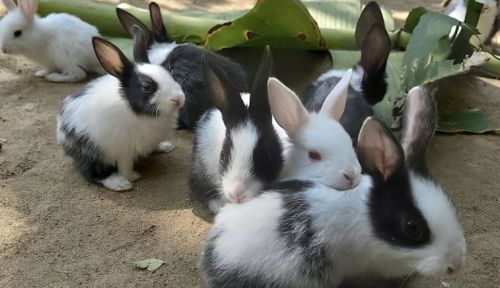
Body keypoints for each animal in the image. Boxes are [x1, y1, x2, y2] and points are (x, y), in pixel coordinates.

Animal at [56, 27, 185, 192]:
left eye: (170, 73)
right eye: (146, 87)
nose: (179, 99)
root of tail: (61, 130)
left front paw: (164, 146)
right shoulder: (124, 150)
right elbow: (125, 166)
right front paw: (131, 177)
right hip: (91, 151)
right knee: (92, 172)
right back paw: (118, 183)